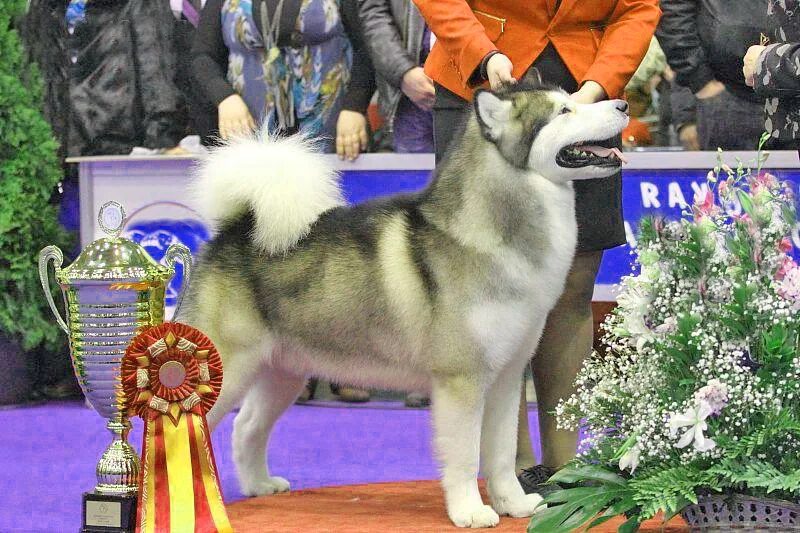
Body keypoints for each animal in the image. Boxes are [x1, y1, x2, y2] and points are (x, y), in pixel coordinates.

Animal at [181, 85, 632, 524]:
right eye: (564, 111)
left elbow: (502, 453)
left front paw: (513, 504)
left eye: (573, 98)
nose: (622, 104)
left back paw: (259, 486)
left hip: (283, 371)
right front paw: (470, 511)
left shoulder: (506, 377)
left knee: (246, 426)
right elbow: (465, 456)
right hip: (228, 370)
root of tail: (236, 230)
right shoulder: (461, 380)